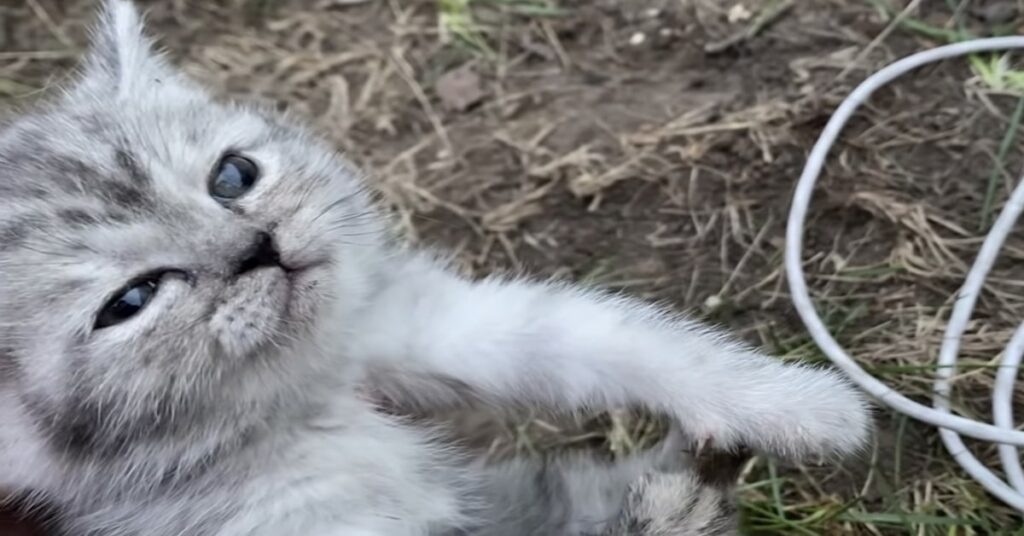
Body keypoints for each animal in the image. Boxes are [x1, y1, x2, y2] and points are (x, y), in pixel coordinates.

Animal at [0, 2, 872, 532]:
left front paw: (798, 406)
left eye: (232, 176)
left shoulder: (419, 323)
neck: (306, 396)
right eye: (132, 300)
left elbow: (621, 340)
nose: (258, 250)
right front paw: (671, 492)